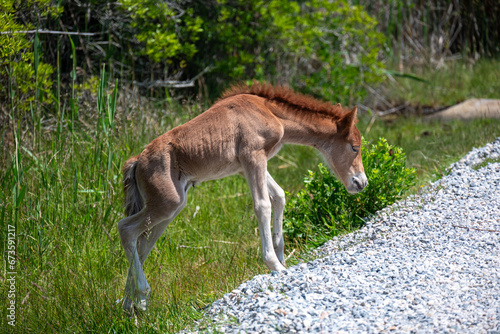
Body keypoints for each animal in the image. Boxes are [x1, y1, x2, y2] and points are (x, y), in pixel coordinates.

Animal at [117, 82, 368, 312]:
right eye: (354, 147)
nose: (361, 183)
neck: (268, 111)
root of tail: (137, 161)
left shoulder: (247, 166)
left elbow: (279, 195)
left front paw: (281, 255)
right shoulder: (252, 155)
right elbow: (262, 205)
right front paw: (276, 266)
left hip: (169, 209)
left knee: (143, 243)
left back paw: (131, 304)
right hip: (168, 203)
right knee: (126, 229)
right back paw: (142, 294)